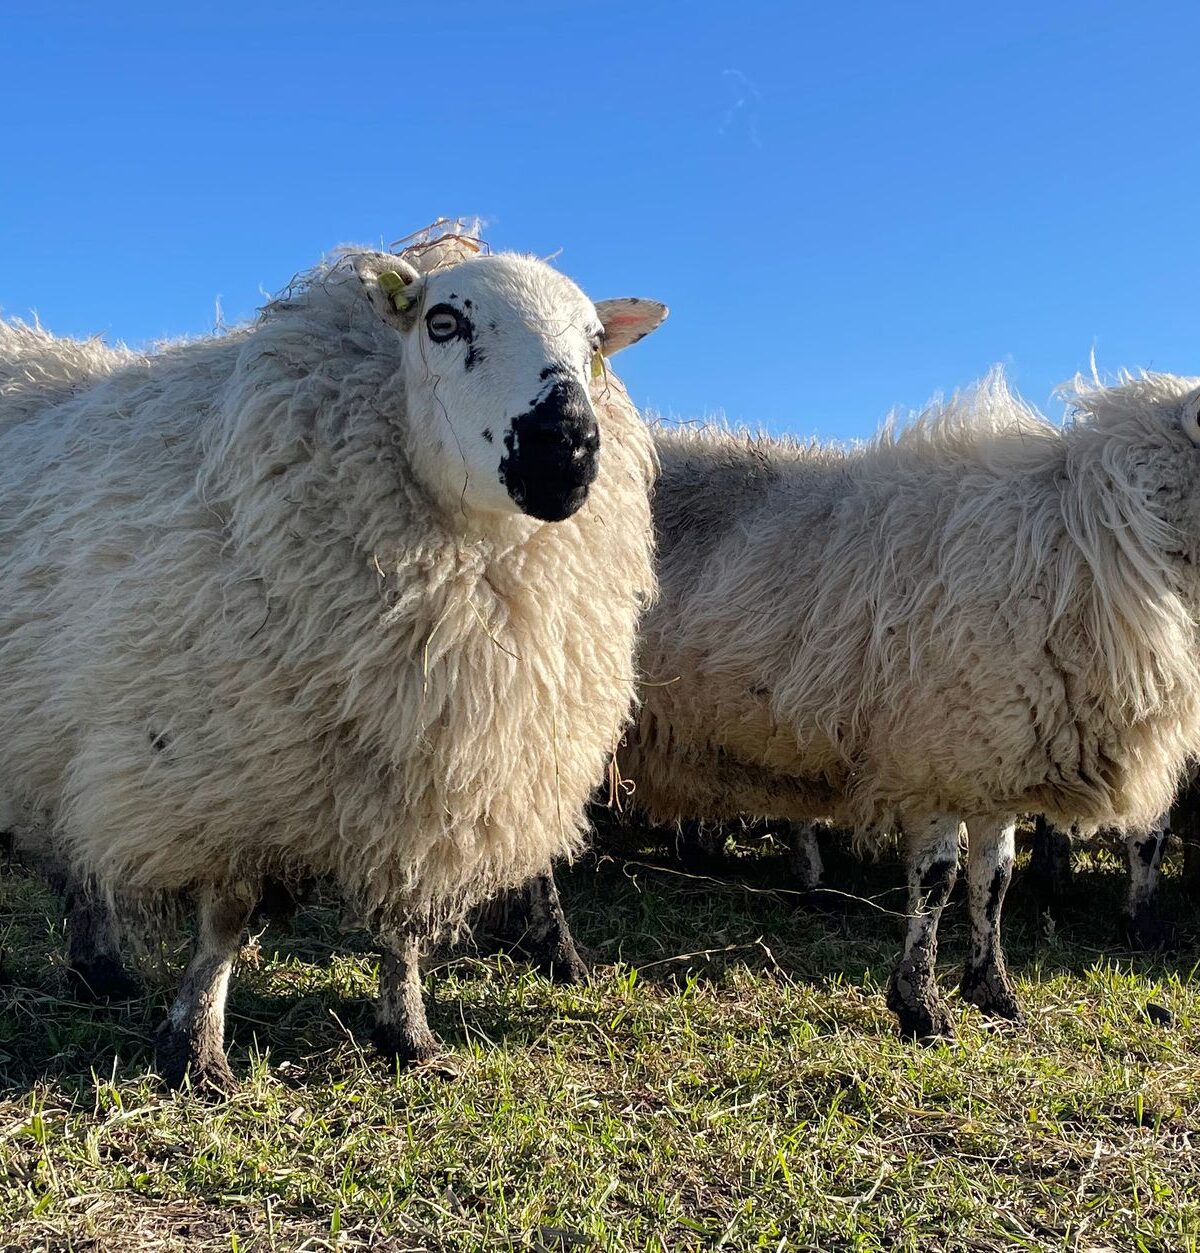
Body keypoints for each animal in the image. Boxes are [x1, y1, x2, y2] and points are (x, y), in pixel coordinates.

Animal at [0, 231, 667, 1091]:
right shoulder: (221, 770)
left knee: (75, 857)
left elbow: (402, 924)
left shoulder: (424, 779)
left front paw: (409, 1034)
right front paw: (196, 1049)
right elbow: (226, 917)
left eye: (593, 345)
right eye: (444, 322)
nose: (568, 449)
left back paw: (98, 971)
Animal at [615, 370, 1200, 1039]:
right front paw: (920, 1004)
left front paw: (994, 992)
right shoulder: (932, 762)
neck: (1089, 542)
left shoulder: (990, 762)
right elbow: (939, 879)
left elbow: (993, 882)